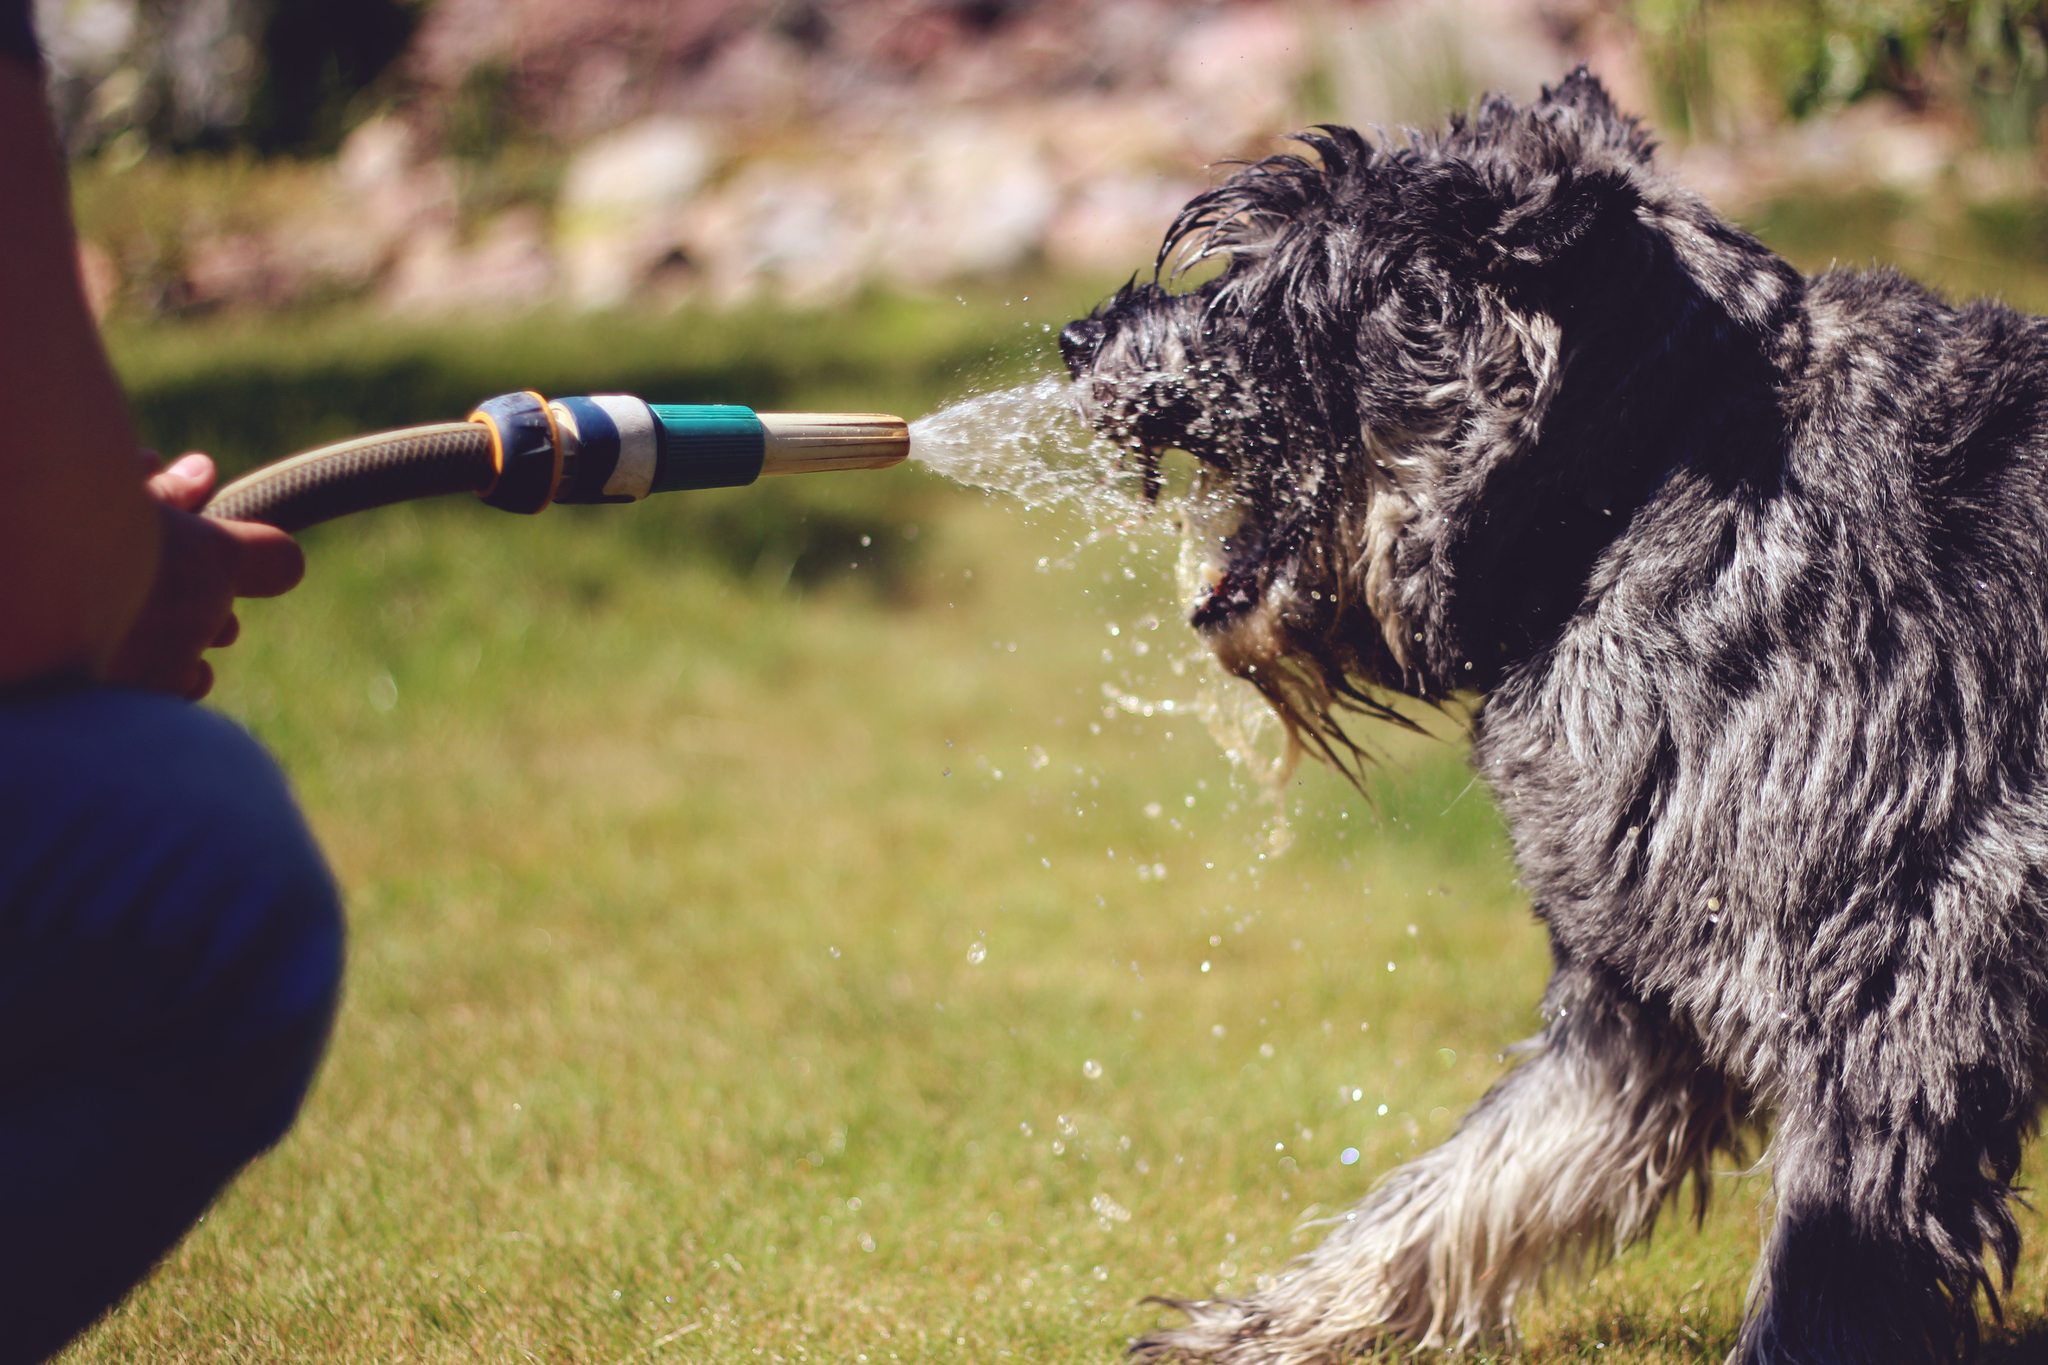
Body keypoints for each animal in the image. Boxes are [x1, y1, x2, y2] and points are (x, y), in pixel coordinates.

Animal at [1064, 69, 2048, 1365]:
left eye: (1266, 288)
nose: (1077, 340)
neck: (1647, 478)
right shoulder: (1634, 1016)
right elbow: (1465, 1189)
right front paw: (1267, 1323)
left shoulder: (1895, 1016)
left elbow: (1814, 1287)